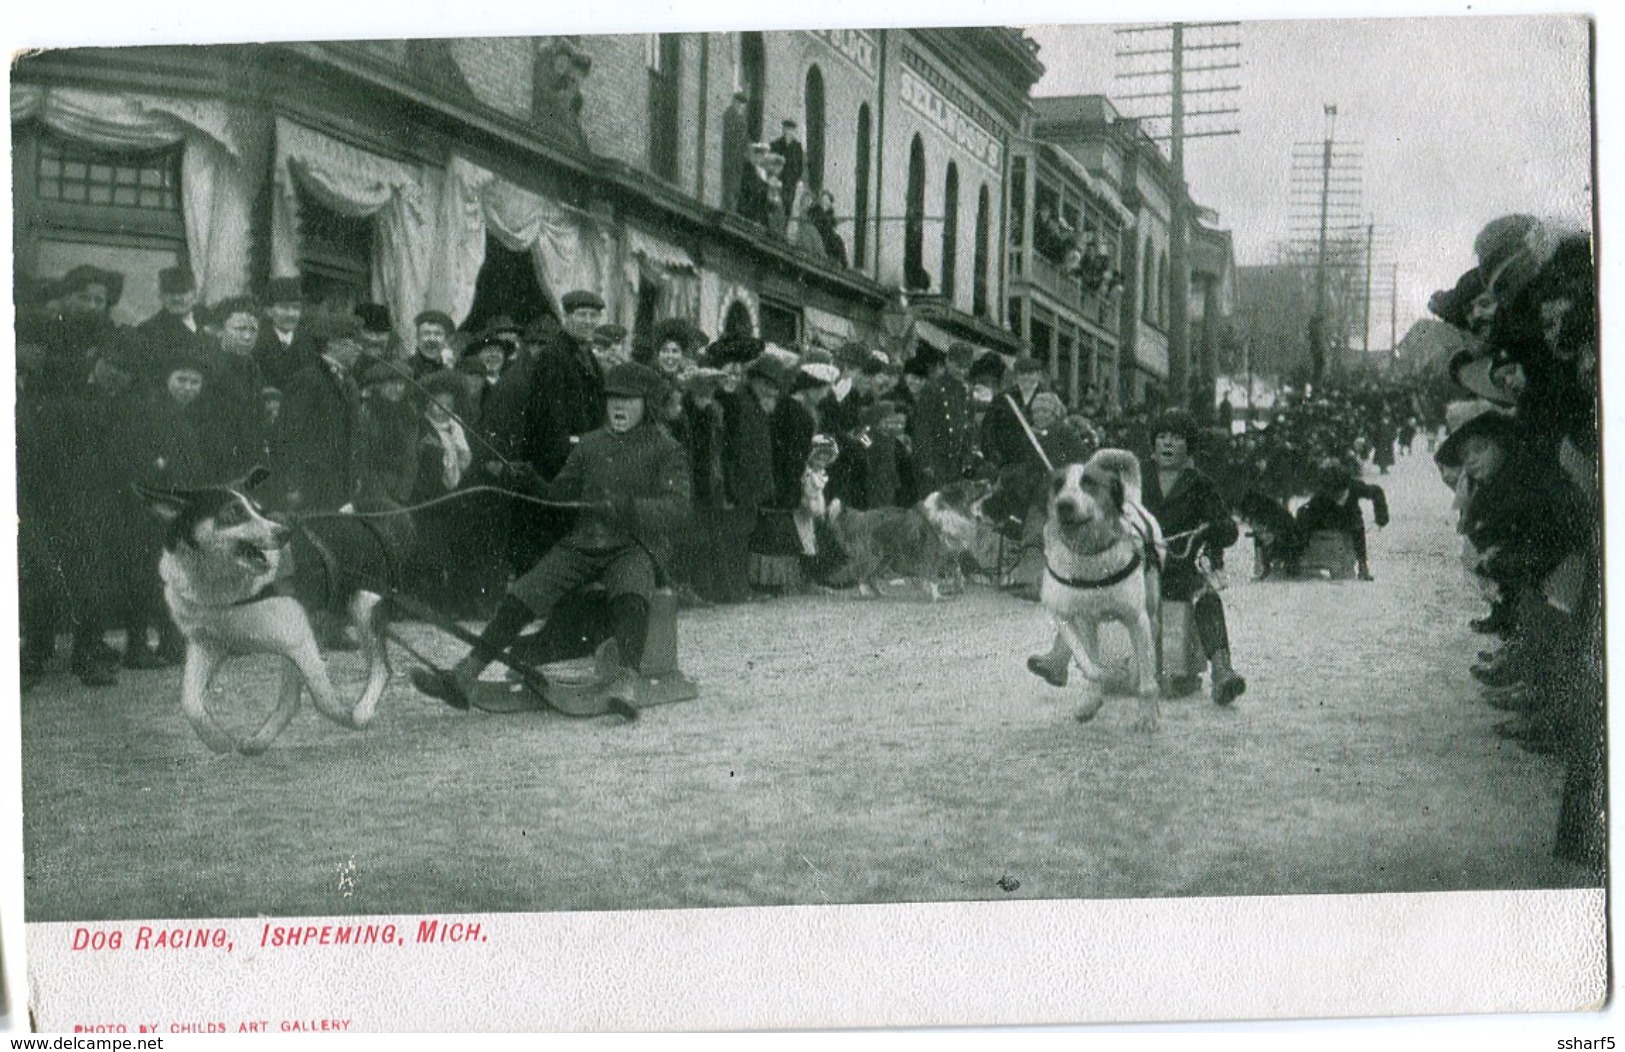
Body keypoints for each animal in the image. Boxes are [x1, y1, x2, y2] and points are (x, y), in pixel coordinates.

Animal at [1020, 448, 1163, 728]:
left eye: (1089, 482)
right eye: (1058, 484)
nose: (1064, 504)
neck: (1090, 552)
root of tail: (1132, 500)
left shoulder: (1136, 618)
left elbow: (1145, 674)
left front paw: (1147, 715)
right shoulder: (1071, 615)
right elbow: (1086, 660)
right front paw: (1094, 689)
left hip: (1150, 606)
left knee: (1151, 634)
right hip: (1089, 620)